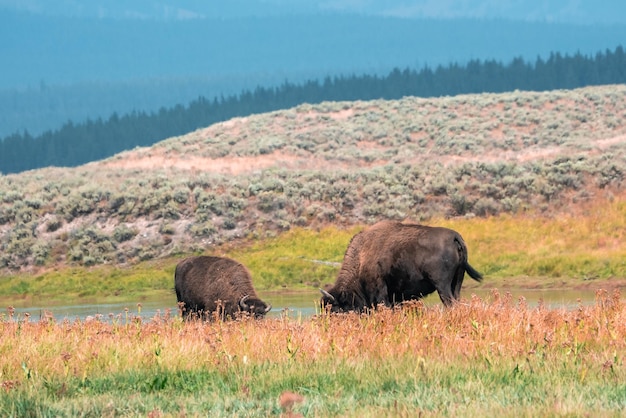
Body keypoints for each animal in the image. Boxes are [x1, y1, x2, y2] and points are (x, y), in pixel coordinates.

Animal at [320, 220, 480, 312]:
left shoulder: (380, 292)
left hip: (442, 285)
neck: (361, 258)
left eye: (335, 310)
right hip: (457, 281)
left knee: (449, 303)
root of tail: (455, 237)